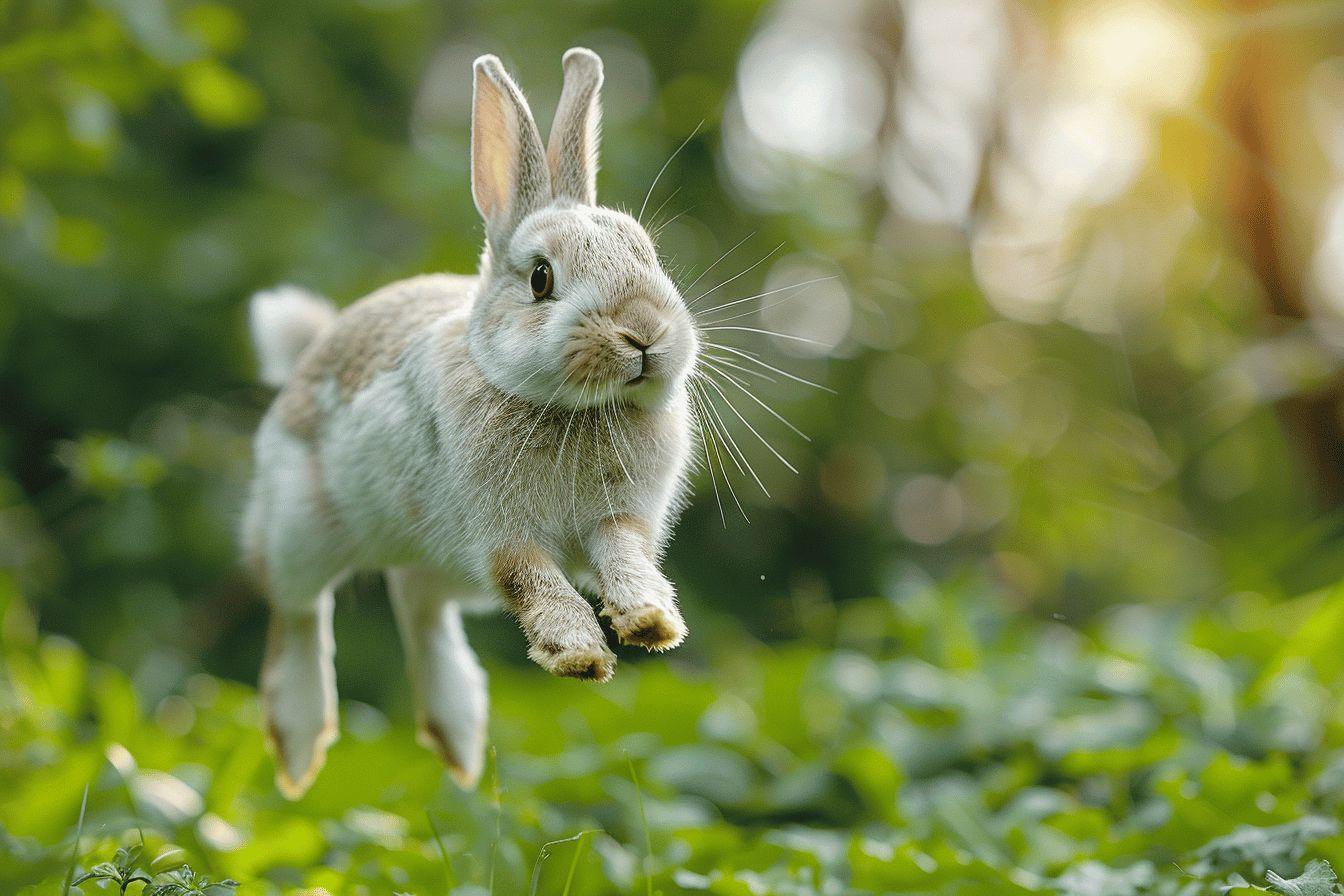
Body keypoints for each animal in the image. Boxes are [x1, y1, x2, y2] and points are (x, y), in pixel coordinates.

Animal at [242, 48, 699, 799]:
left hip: (439, 565)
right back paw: (301, 744)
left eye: (649, 256)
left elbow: (623, 558)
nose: (643, 334)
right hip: (299, 531)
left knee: (418, 606)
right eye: (541, 279)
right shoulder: (500, 533)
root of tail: (310, 352)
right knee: (299, 613)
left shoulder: (617, 517)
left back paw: (459, 739)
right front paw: (579, 655)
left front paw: (651, 622)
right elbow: (535, 582)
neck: (571, 409)